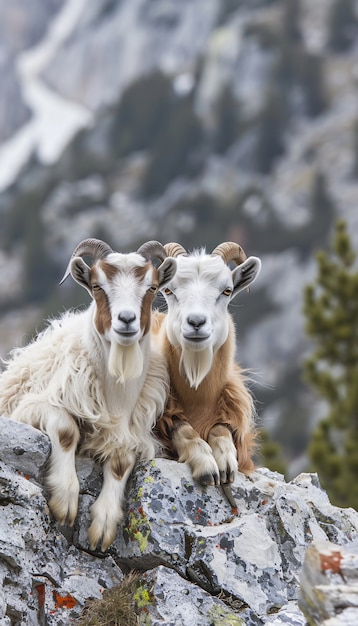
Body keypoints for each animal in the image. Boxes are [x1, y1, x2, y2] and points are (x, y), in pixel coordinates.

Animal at [0, 236, 178, 548]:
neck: (116, 396)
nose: (127, 320)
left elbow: (120, 463)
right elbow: (65, 430)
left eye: (152, 287)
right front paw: (65, 500)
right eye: (97, 286)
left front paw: (103, 526)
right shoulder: (31, 407)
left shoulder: (131, 434)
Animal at [152, 241, 262, 494]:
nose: (196, 322)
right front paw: (207, 466)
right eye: (169, 290)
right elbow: (183, 429)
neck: (198, 398)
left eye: (227, 291)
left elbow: (221, 430)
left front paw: (226, 463)